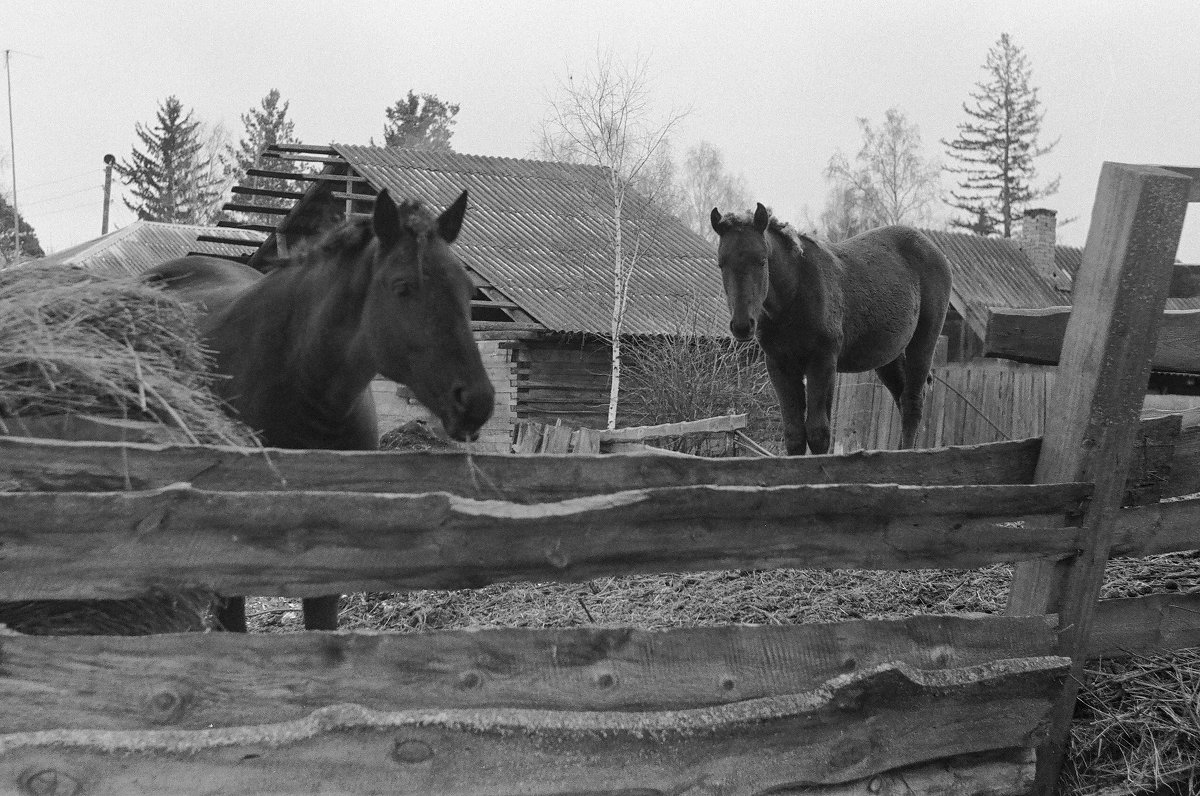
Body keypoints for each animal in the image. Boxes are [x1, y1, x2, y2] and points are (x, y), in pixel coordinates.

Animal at [705, 202, 950, 458]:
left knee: (912, 402)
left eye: (762, 261)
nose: (742, 325)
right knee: (902, 397)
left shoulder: (822, 361)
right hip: (888, 356)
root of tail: (935, 251)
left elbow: (818, 432)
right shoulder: (779, 365)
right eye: (721, 263)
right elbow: (794, 434)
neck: (794, 294)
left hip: (923, 341)